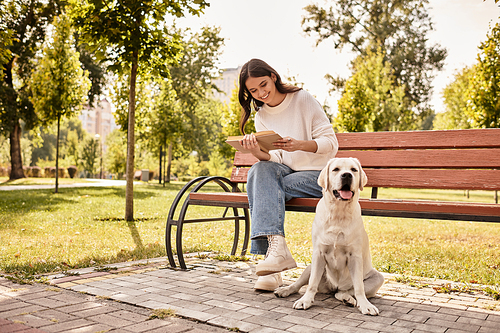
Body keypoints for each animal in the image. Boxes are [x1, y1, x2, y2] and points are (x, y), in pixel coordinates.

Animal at [276, 157, 384, 316]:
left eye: (353, 170)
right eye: (336, 169)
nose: (347, 175)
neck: (339, 213)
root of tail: (333, 287)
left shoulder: (355, 256)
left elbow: (359, 287)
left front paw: (365, 305)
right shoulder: (318, 253)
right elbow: (311, 284)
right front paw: (305, 300)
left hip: (378, 278)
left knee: (345, 291)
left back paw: (347, 299)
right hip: (310, 267)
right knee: (299, 284)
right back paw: (284, 290)